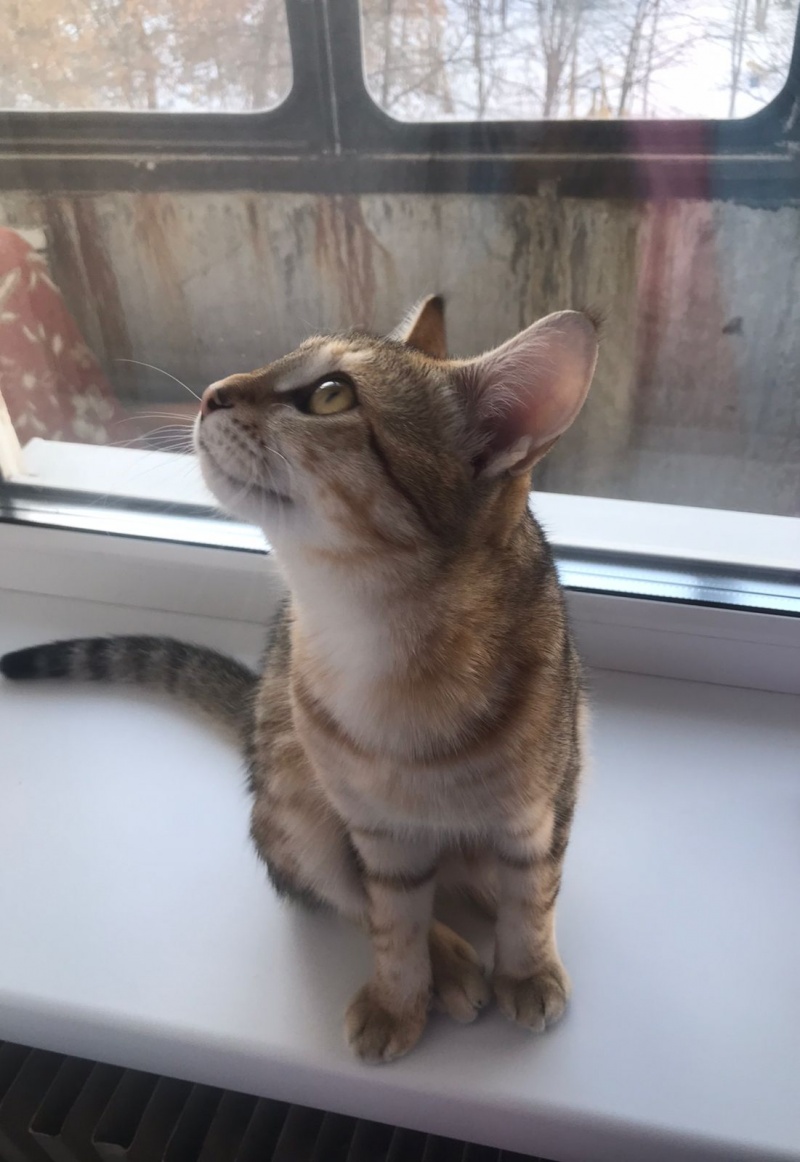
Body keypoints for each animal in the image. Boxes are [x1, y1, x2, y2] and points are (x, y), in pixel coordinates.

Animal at [1, 296, 598, 1063]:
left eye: (330, 395)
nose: (212, 393)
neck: (386, 651)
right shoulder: (376, 832)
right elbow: (390, 921)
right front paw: (400, 997)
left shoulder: (541, 805)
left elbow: (534, 896)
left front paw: (527, 968)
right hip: (297, 809)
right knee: (343, 895)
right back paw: (451, 961)